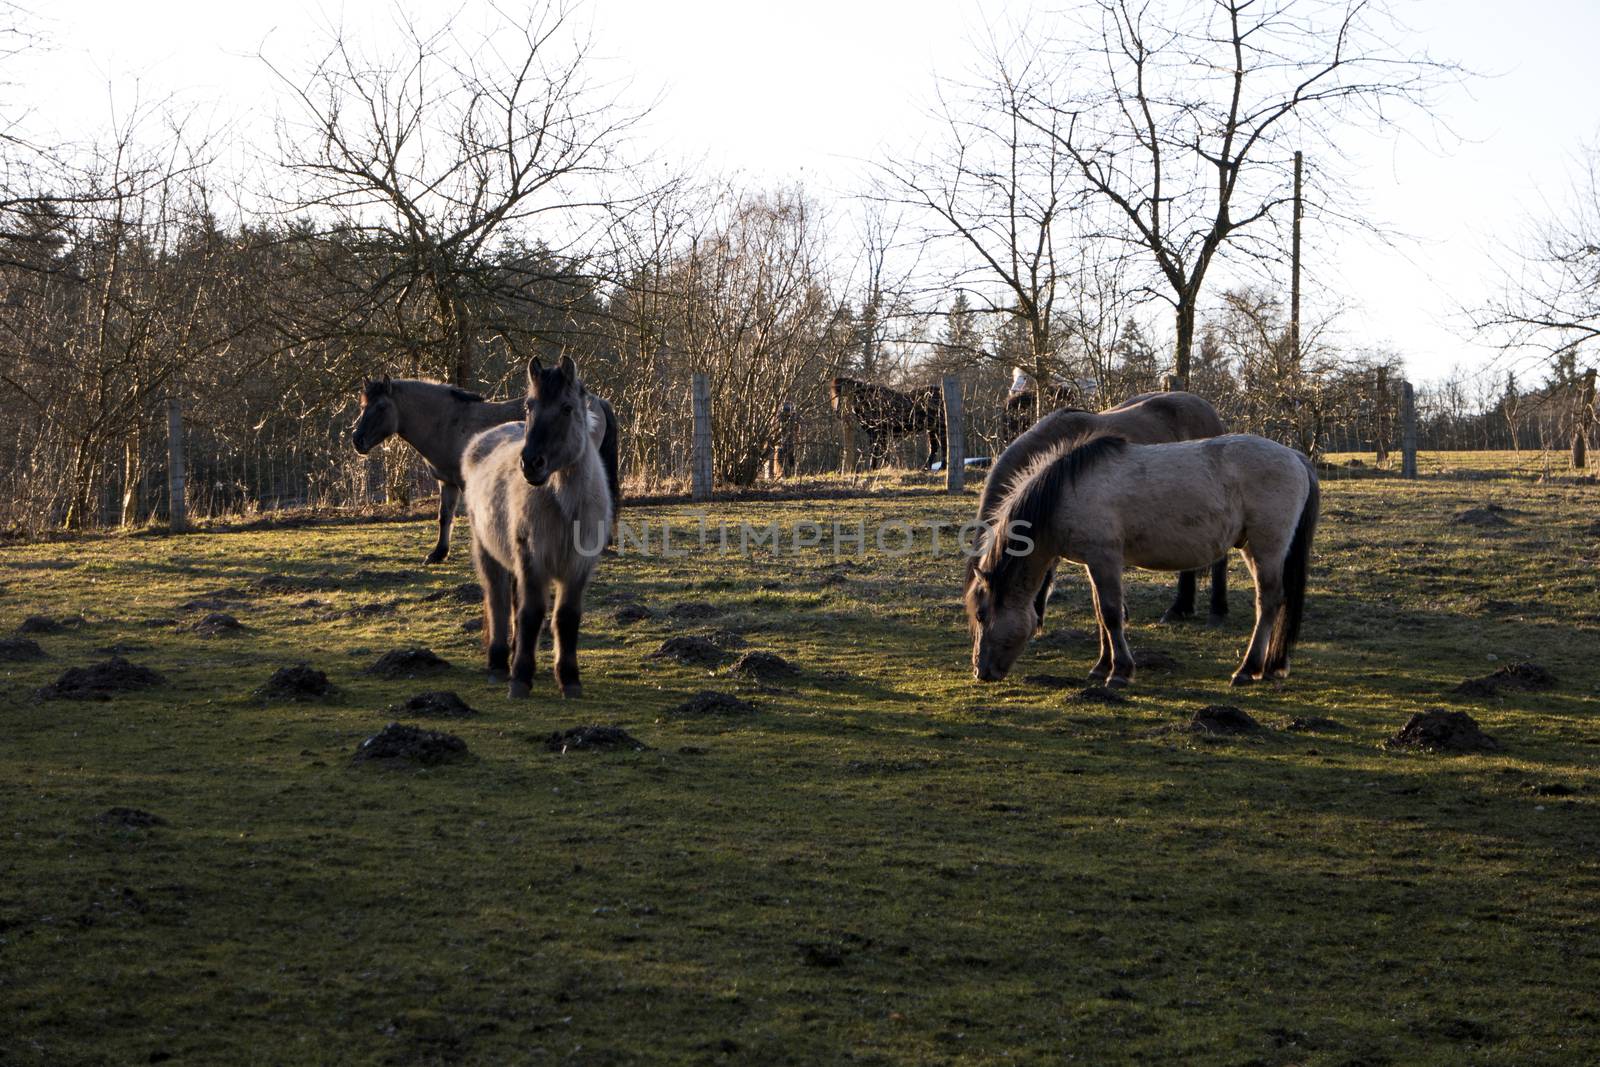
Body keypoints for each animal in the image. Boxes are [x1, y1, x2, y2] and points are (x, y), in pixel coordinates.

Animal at [350, 374, 617, 563]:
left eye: (381, 407)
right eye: (363, 406)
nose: (357, 440)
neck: (448, 424)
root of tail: (596, 402)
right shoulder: (447, 482)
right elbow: (444, 517)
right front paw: (438, 553)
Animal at [467, 351, 614, 700]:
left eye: (566, 407)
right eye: (529, 406)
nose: (530, 463)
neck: (565, 507)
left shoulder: (577, 567)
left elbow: (566, 618)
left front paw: (569, 679)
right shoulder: (533, 562)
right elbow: (530, 615)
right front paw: (520, 678)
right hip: (488, 553)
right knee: (498, 603)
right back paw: (498, 664)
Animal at [966, 435, 1318, 694]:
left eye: (982, 615)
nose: (981, 671)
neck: (1065, 490)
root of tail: (1295, 457)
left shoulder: (1105, 558)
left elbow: (1111, 615)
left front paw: (1120, 672)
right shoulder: (1094, 563)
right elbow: (1101, 613)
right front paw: (1102, 667)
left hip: (1266, 548)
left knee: (1268, 602)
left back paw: (1248, 670)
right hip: (1252, 548)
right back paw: (1272, 666)